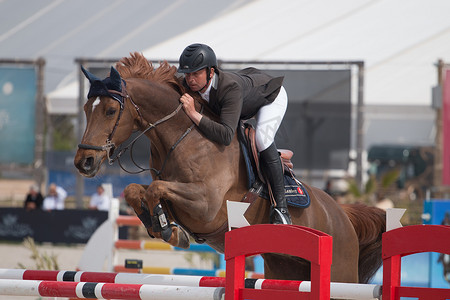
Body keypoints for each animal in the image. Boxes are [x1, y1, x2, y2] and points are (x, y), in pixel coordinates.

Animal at [74, 51, 386, 284]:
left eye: (110, 111)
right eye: (87, 109)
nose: (83, 162)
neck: (182, 136)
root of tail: (342, 213)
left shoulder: (207, 205)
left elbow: (155, 189)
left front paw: (165, 228)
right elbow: (135, 190)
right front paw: (163, 226)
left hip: (339, 271)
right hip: (285, 268)